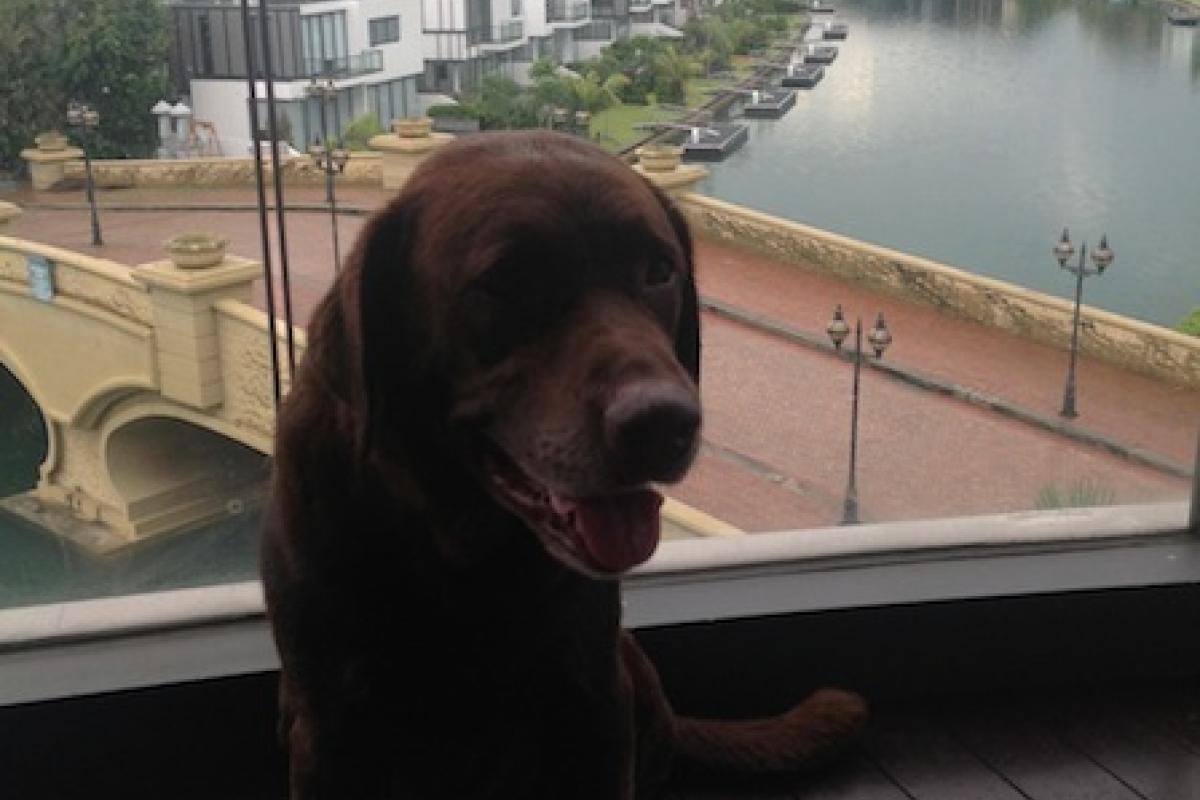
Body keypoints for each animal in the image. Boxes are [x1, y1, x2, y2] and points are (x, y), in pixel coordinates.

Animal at [261, 130, 866, 799]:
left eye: (660, 270)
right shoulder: (328, 726)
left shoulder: (591, 700)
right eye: (504, 282)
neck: (463, 553)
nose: (664, 423)